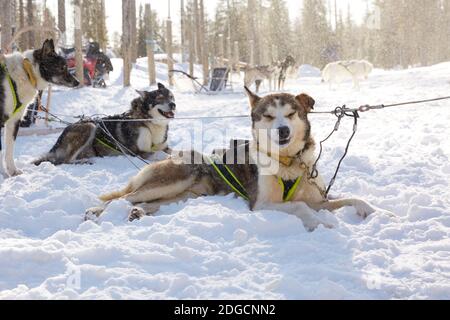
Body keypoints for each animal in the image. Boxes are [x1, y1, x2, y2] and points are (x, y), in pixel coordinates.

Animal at [0, 39, 80, 178]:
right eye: (62, 67)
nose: (77, 82)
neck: (26, 72)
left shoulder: (13, 121)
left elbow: (9, 150)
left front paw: (12, 171)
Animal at [34, 83, 175, 165]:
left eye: (171, 96)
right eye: (159, 98)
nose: (173, 104)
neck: (150, 123)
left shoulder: (164, 146)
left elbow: (172, 150)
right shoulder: (137, 152)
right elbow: (161, 154)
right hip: (89, 126)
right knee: (64, 161)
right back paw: (84, 161)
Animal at [87, 86, 376, 230]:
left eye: (291, 113)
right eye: (268, 116)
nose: (282, 130)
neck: (287, 163)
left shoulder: (320, 198)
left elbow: (350, 199)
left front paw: (373, 211)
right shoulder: (261, 204)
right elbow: (300, 206)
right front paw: (319, 222)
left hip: (185, 195)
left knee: (144, 203)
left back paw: (138, 212)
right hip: (176, 179)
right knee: (123, 198)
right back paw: (95, 212)